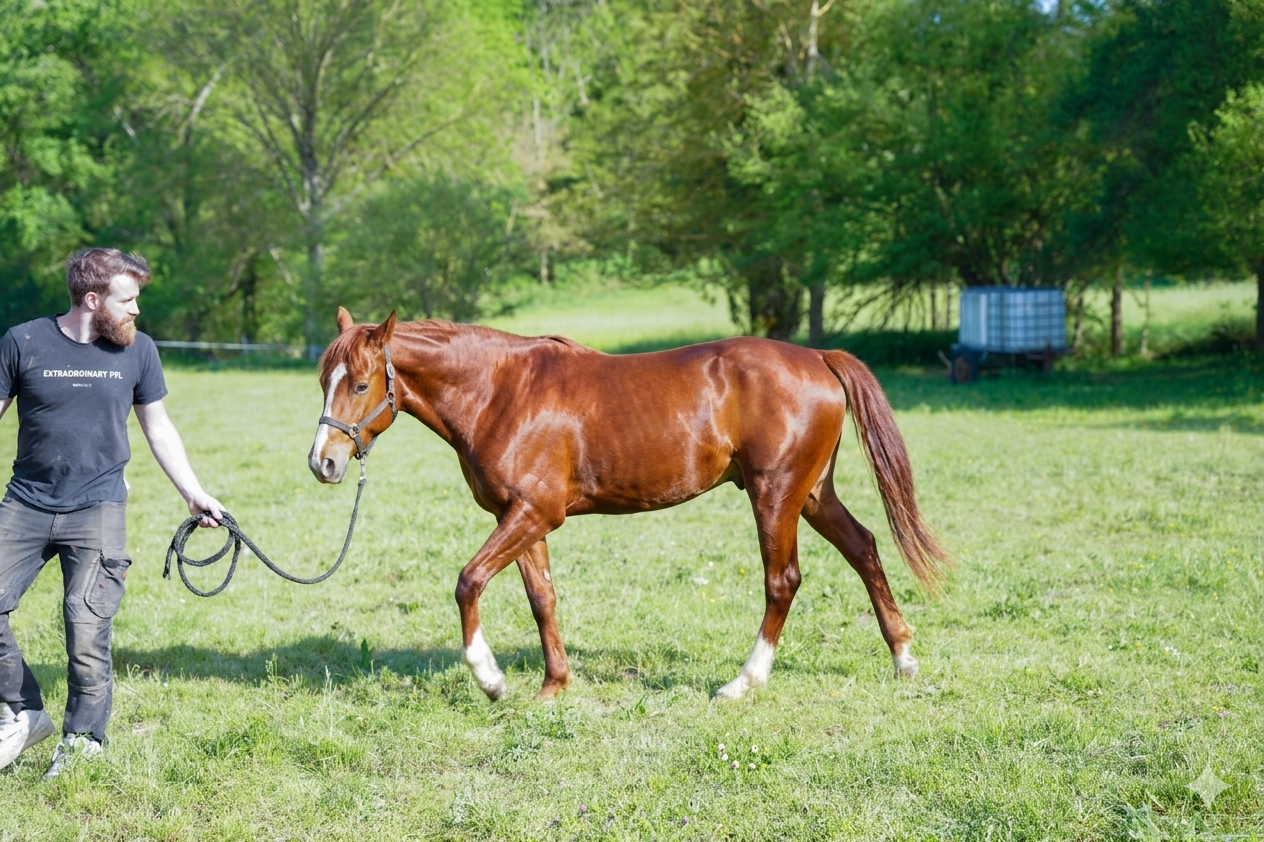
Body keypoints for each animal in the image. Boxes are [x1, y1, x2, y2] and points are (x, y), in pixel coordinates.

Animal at [308, 307, 948, 701]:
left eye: (360, 384)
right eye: (323, 382)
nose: (324, 463)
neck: (500, 391)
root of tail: (817, 357)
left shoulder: (534, 514)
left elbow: (469, 581)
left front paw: (490, 679)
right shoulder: (518, 518)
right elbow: (542, 599)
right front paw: (554, 686)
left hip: (776, 494)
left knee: (782, 580)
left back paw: (743, 682)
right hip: (812, 494)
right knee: (864, 548)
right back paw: (903, 659)